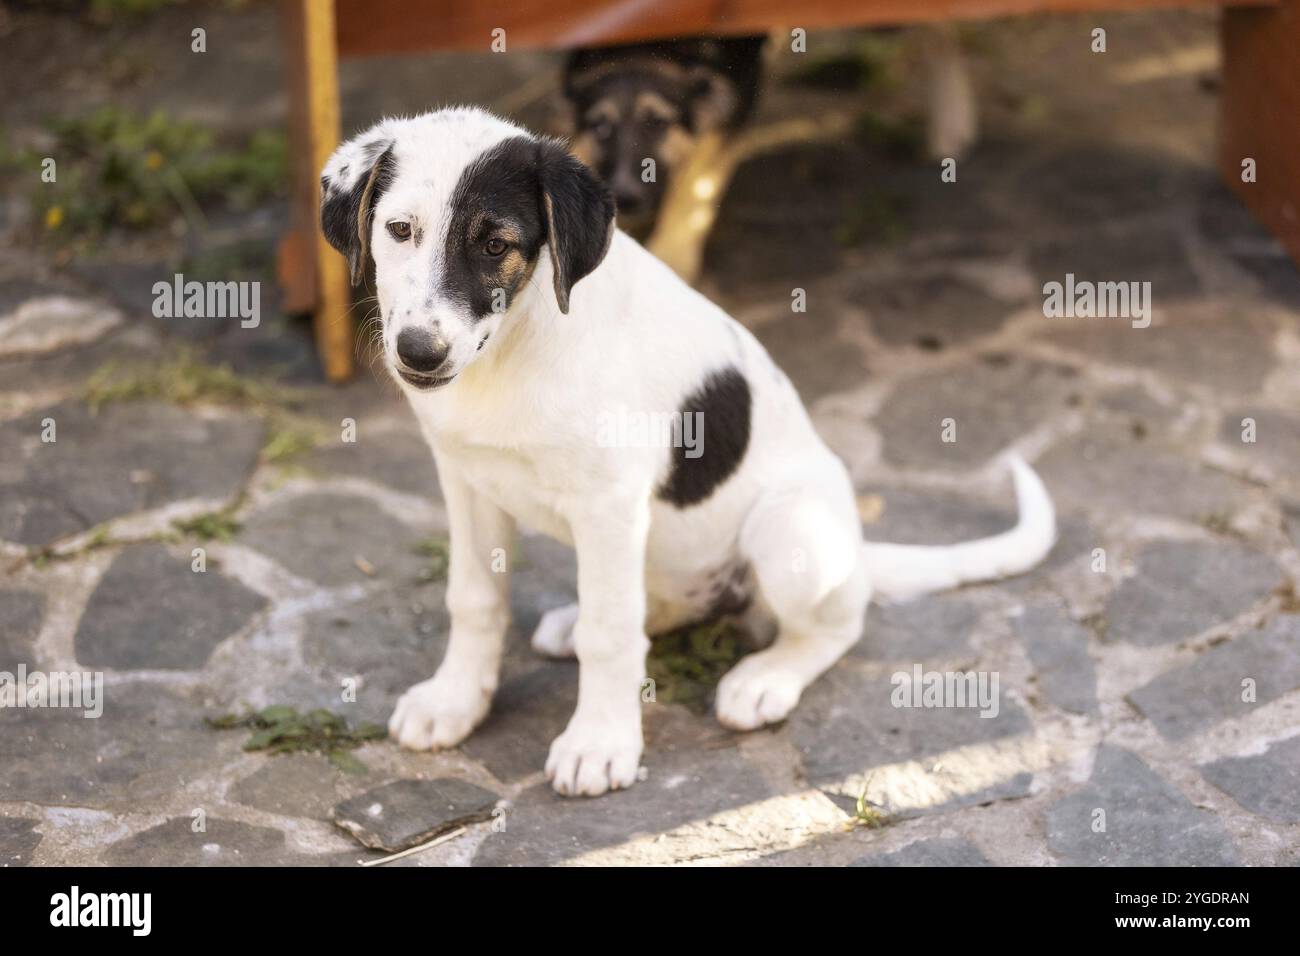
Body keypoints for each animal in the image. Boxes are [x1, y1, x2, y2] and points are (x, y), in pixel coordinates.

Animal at [322, 104, 1055, 796]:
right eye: (398, 230)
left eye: (496, 243)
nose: (419, 352)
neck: (510, 349)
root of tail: (856, 548)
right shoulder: (467, 480)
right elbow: (474, 600)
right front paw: (454, 702)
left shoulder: (610, 502)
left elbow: (612, 633)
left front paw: (599, 741)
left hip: (790, 532)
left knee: (835, 624)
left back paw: (765, 678)